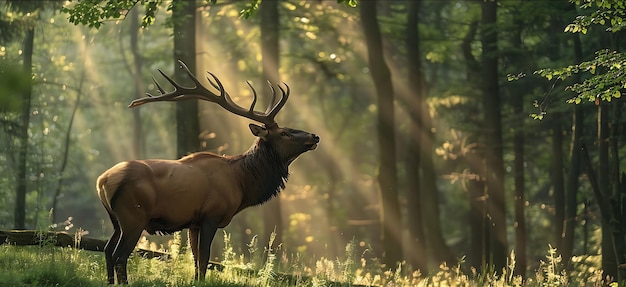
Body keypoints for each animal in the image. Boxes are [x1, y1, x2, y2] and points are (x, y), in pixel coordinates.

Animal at [99, 61, 320, 286]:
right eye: (284, 133)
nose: (315, 136)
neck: (241, 183)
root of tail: (102, 181)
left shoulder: (193, 223)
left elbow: (196, 259)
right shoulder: (211, 214)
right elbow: (205, 258)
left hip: (116, 220)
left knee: (107, 250)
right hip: (133, 216)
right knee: (119, 255)